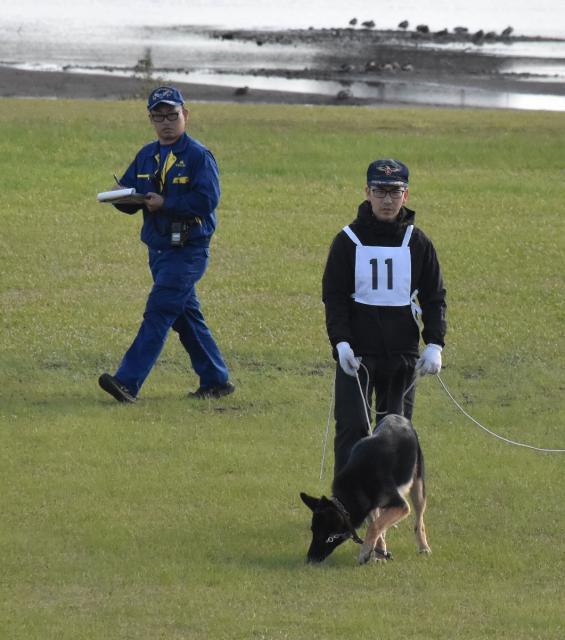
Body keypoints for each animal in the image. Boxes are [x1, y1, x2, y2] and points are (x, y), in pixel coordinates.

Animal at [302, 412, 430, 564]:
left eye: (326, 536)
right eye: (313, 530)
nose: (310, 559)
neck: (357, 482)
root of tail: (397, 416)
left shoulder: (400, 505)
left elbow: (374, 526)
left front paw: (365, 552)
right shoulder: (370, 508)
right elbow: (376, 526)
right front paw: (379, 554)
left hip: (418, 489)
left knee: (419, 521)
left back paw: (423, 546)